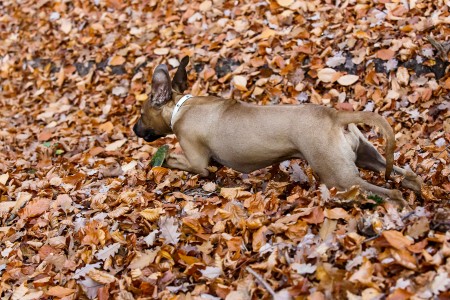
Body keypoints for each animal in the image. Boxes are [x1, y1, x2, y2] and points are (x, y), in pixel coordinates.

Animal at [133, 56, 422, 204]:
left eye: (141, 115)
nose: (135, 129)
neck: (180, 106)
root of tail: (334, 115)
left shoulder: (197, 161)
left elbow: (173, 160)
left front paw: (160, 161)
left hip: (339, 177)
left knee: (390, 192)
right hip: (366, 156)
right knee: (406, 174)